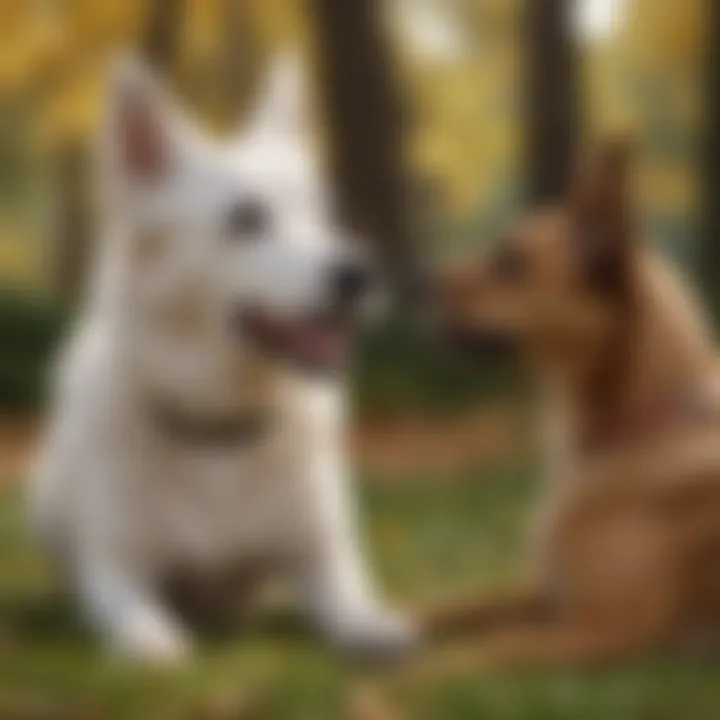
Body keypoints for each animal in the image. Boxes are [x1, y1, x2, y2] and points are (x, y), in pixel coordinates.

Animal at [29, 56, 416, 660]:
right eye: (246, 218)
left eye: (323, 215)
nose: (359, 273)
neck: (220, 432)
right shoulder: (117, 570)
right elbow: (136, 618)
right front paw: (154, 643)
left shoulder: (323, 559)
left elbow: (354, 606)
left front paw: (377, 629)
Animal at [420, 141, 720, 668]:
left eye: (510, 261)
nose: (416, 281)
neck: (637, 428)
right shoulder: (546, 594)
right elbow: (449, 605)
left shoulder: (603, 630)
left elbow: (471, 652)